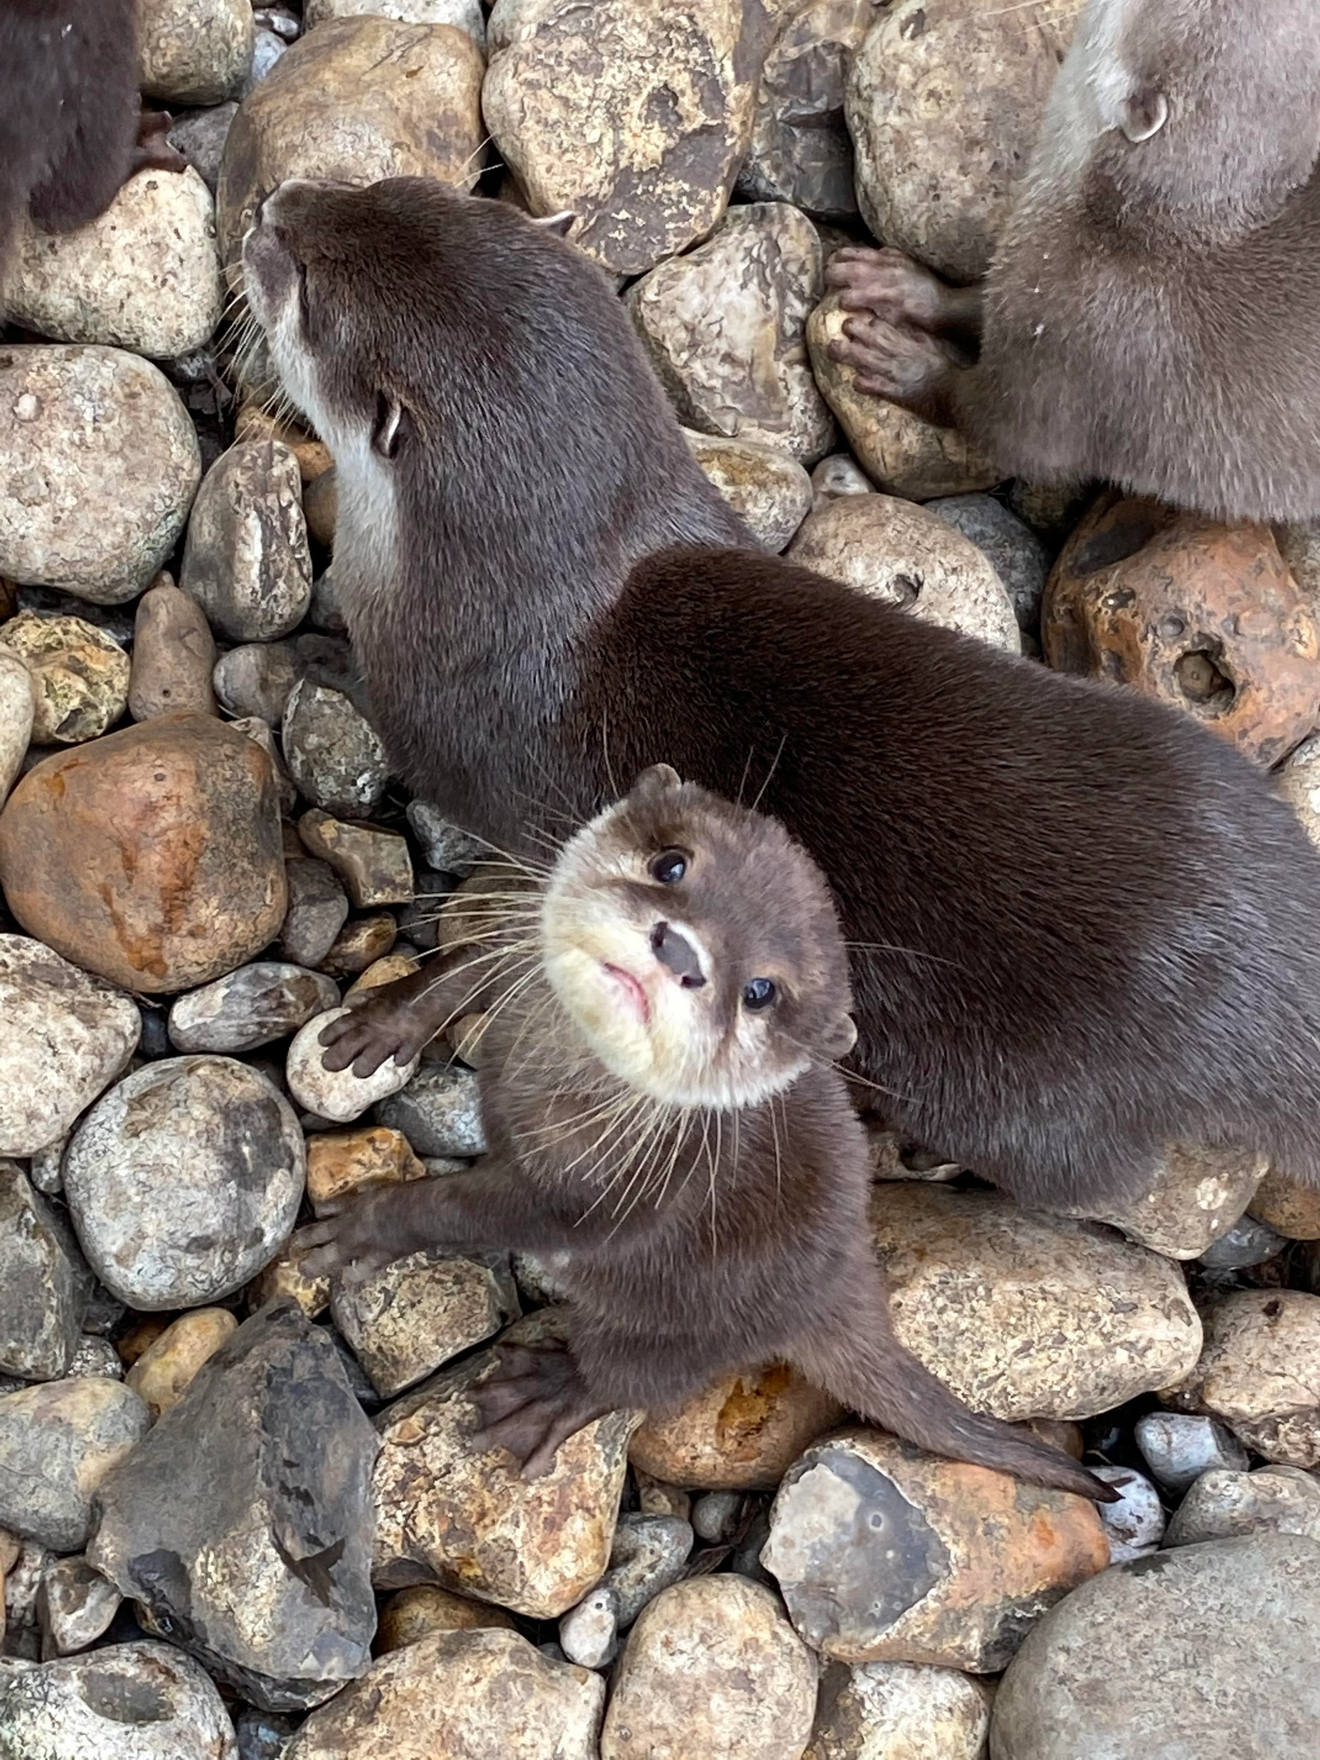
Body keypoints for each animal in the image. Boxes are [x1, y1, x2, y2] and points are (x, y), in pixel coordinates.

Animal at [242, 174, 1320, 1216]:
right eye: (393, 190)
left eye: (307, 289)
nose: (275, 204)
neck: (527, 607)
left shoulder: (496, 766)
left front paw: (387, 1012)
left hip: (1018, 1096)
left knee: (1088, 1182)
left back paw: (906, 1148)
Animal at [297, 766, 1111, 1499]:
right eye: (672, 863)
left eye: (761, 991)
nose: (681, 952)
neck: (558, 1077)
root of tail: (846, 1277)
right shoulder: (521, 948)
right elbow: (464, 967)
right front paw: (385, 1024)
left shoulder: (605, 1194)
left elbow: (473, 1211)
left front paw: (368, 1229)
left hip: (700, 1321)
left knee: (636, 1374)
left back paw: (549, 1391)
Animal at [824, 0, 1320, 522]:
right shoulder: (1023, 283)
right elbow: (976, 301)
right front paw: (902, 286)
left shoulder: (1074, 352)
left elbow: (998, 427)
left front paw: (905, 365)